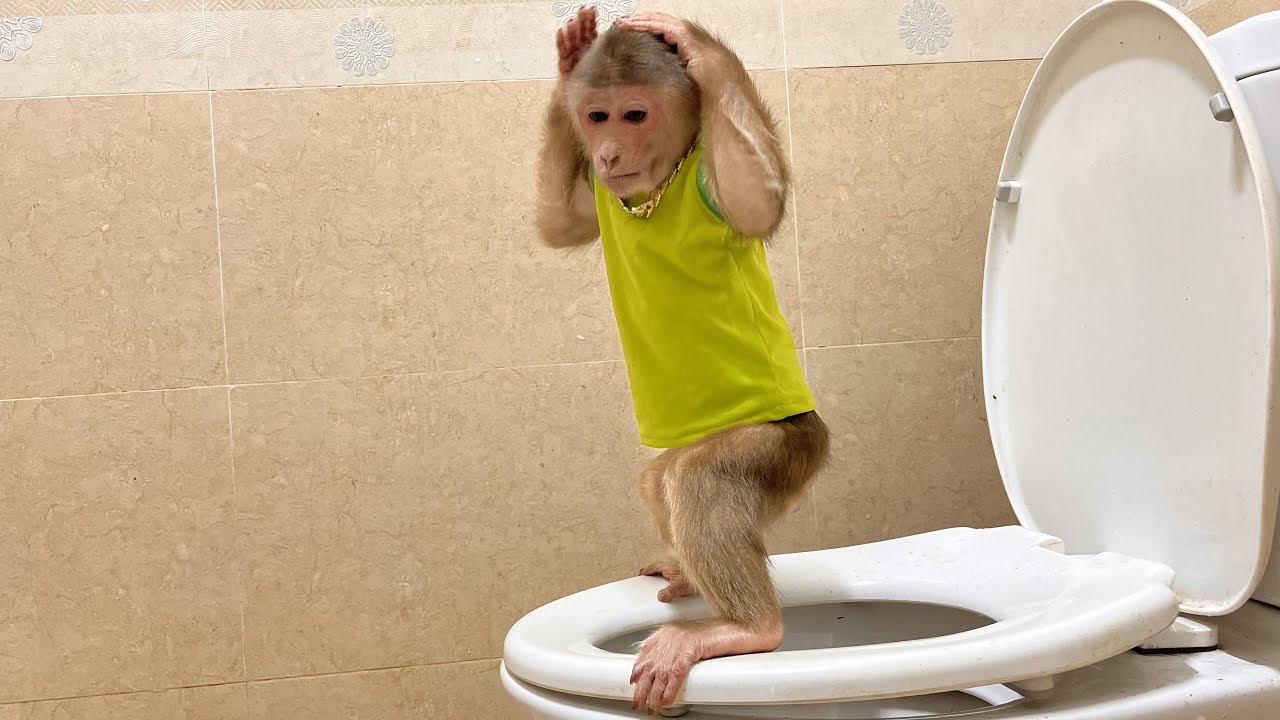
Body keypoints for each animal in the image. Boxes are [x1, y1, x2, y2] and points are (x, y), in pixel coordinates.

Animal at [536, 7, 831, 714]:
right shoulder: (602, 193)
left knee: (698, 477)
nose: (609, 153)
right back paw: (687, 570)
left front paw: (705, 55)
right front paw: (569, 62)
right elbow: (560, 222)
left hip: (788, 447)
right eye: (598, 116)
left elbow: (755, 203)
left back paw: (749, 628)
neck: (656, 186)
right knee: (659, 479)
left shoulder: (711, 182)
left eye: (634, 115)